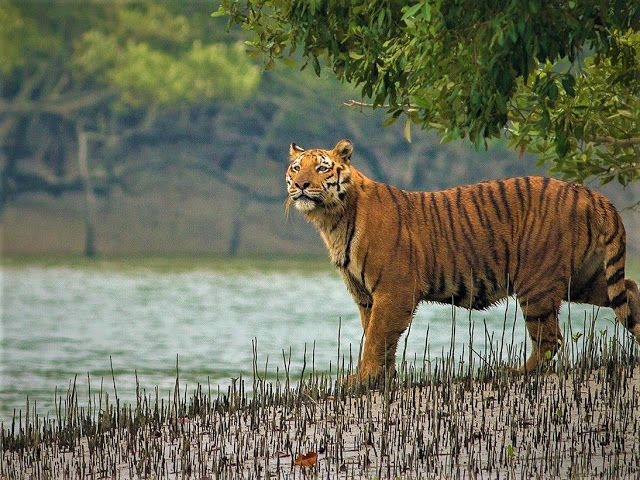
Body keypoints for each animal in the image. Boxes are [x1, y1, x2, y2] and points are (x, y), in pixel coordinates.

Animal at [286, 139, 640, 385]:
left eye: (321, 168)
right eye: (295, 168)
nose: (301, 185)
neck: (332, 220)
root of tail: (592, 194)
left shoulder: (394, 291)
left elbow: (376, 338)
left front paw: (361, 379)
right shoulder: (366, 297)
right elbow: (376, 336)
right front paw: (381, 379)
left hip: (536, 283)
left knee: (550, 339)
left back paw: (513, 371)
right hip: (583, 279)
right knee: (630, 289)